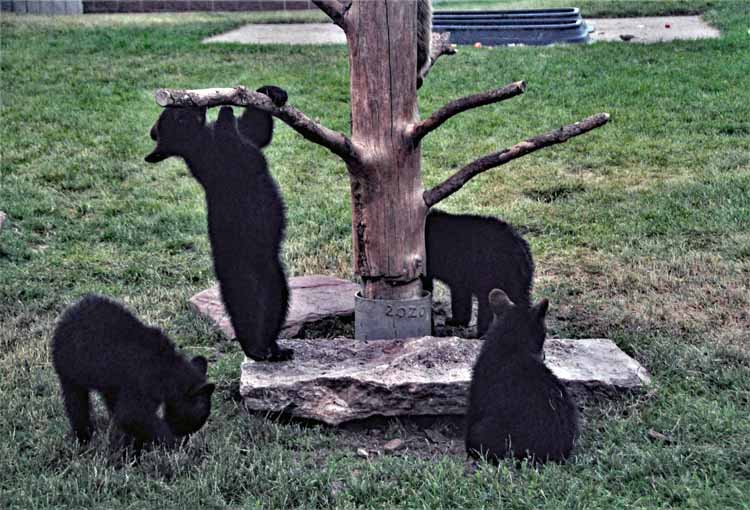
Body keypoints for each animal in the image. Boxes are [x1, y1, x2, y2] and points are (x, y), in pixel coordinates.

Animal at [51, 294, 215, 450]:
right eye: (189, 424)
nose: (185, 439)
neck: (169, 372)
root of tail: (66, 316)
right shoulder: (143, 381)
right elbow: (132, 415)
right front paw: (172, 444)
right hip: (69, 368)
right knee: (76, 402)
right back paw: (84, 437)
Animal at [145, 86, 293, 362]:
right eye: (177, 116)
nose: (198, 104)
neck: (201, 140)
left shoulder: (246, 139)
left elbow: (256, 129)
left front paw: (271, 92)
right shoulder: (226, 160)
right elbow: (239, 145)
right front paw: (225, 112)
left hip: (277, 281)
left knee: (273, 309)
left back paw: (275, 349)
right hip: (242, 278)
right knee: (245, 311)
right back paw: (256, 349)